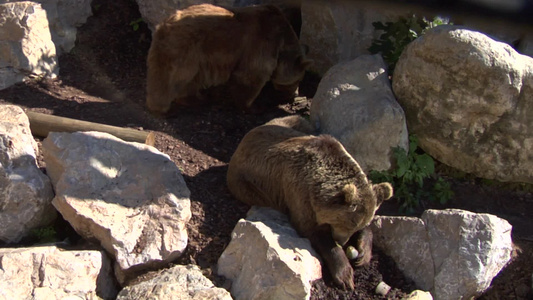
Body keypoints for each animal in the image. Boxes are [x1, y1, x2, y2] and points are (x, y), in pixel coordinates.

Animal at [145, 3, 312, 115]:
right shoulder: (262, 45)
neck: (282, 44)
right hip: (184, 49)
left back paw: (198, 98)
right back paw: (163, 106)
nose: (294, 95)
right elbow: (249, 77)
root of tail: (163, 24)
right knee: (174, 78)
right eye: (298, 80)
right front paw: (253, 107)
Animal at [227, 115, 392, 290]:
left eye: (355, 225)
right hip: (250, 185)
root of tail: (246, 136)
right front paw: (345, 276)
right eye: (345, 223)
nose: (342, 241)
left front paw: (363, 254)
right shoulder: (299, 191)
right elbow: (312, 230)